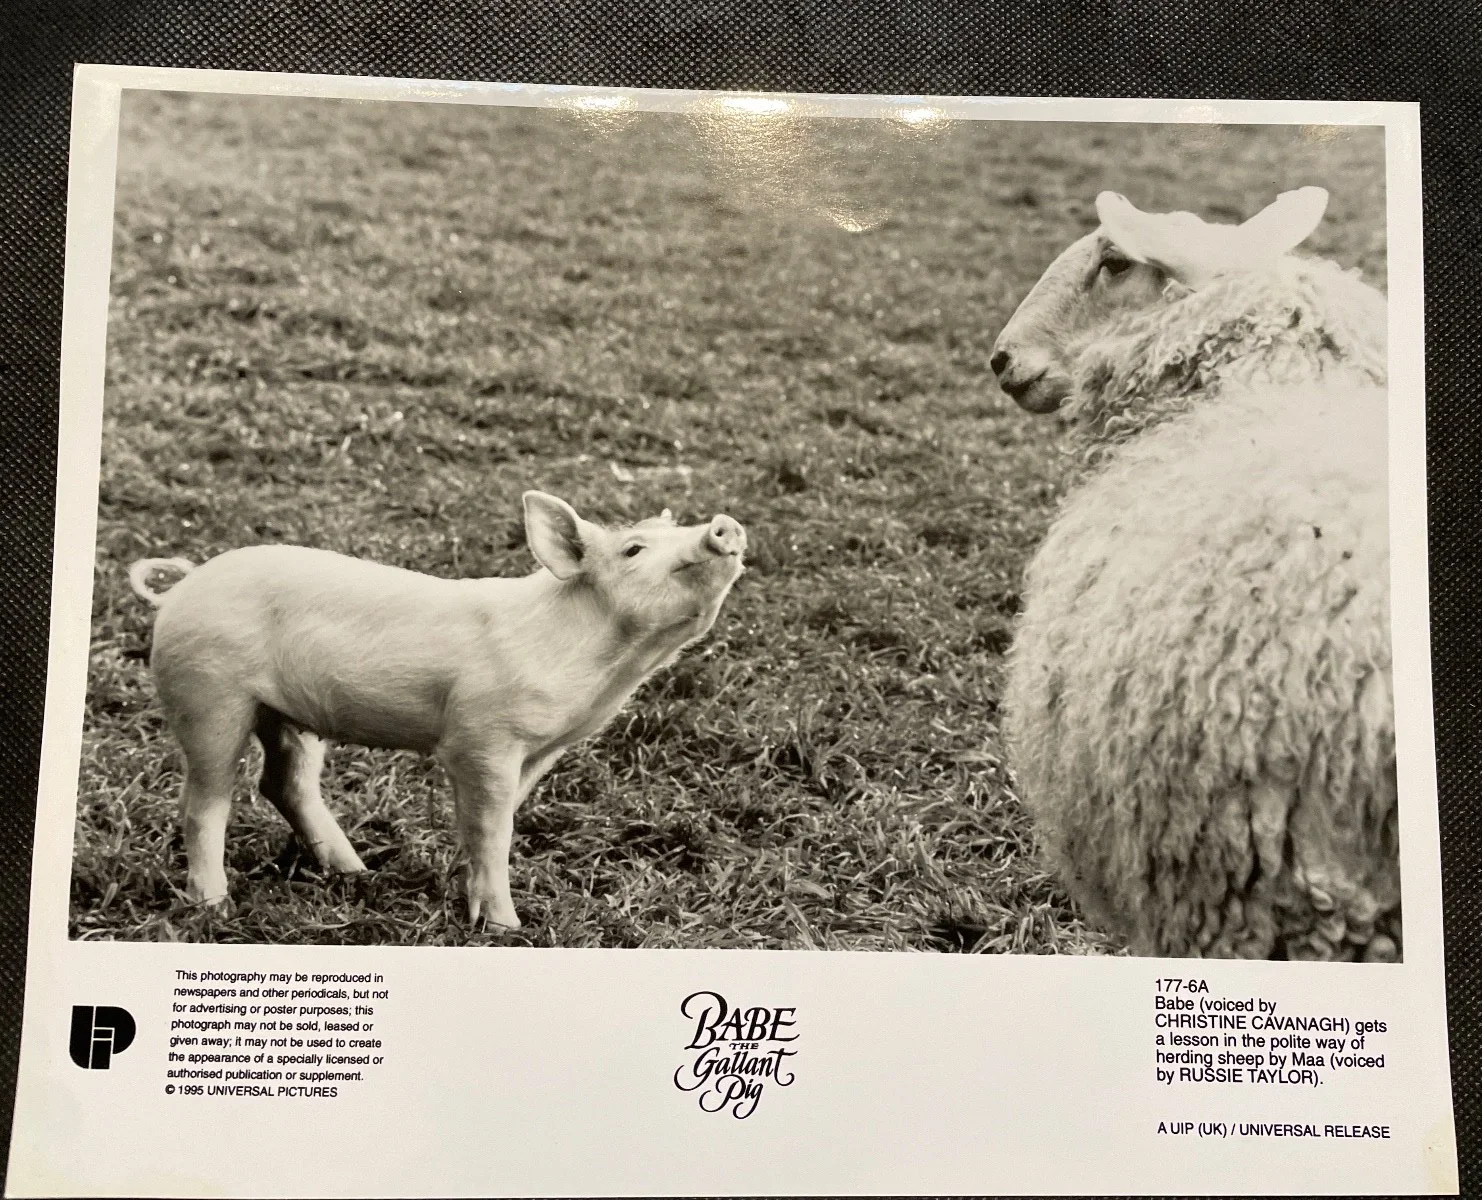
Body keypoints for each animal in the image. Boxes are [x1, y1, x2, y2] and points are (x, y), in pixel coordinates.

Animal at [126, 491, 748, 929]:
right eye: (633, 549)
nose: (724, 525)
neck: (612, 669)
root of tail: (182, 587)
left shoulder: (544, 747)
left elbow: (492, 822)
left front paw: (464, 893)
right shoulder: (482, 735)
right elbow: (494, 828)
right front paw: (506, 927)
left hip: (284, 716)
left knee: (283, 783)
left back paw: (358, 872)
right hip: (209, 694)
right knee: (204, 803)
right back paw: (215, 908)